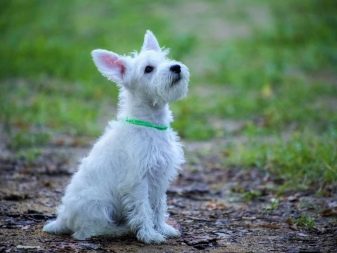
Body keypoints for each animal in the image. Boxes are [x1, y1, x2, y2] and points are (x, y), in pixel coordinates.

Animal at [42, 30, 189, 244]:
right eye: (148, 69)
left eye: (165, 59)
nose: (176, 67)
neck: (151, 123)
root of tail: (62, 218)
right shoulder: (138, 181)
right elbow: (143, 209)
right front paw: (150, 235)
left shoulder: (159, 177)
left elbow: (158, 206)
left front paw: (163, 228)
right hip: (98, 205)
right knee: (87, 231)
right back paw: (119, 230)